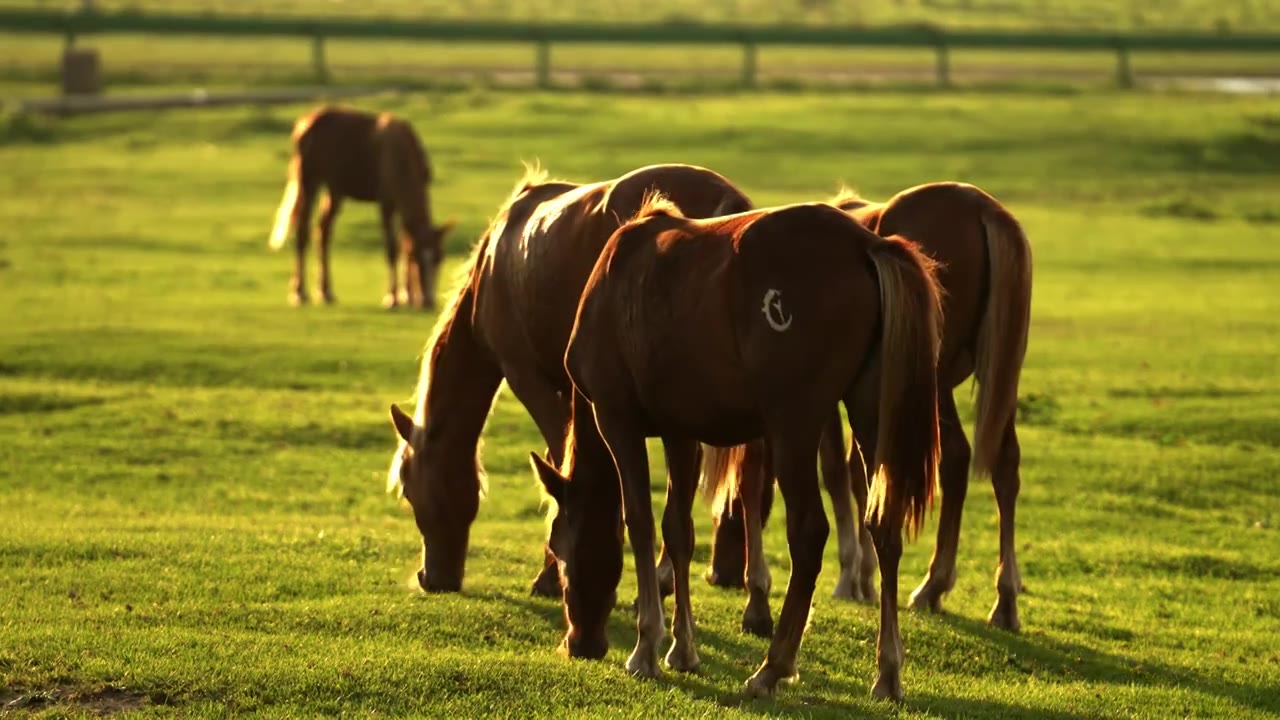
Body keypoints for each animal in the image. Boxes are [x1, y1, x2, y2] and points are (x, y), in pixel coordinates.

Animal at [264, 104, 455, 308]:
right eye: (417, 259)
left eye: (440, 258)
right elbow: (392, 248)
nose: (428, 301)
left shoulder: (402, 206)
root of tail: (305, 121)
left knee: (323, 232)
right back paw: (299, 293)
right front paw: (393, 297)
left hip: (334, 189)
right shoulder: (386, 204)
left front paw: (407, 296)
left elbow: (405, 244)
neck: (402, 154)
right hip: (309, 181)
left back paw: (325, 292)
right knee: (303, 232)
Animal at [384, 161, 752, 594]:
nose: (432, 578)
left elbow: (559, 456)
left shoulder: (527, 376)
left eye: (409, 489)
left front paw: (552, 571)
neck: (492, 265)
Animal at [527, 197, 942, 702]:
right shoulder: (679, 432)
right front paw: (682, 650)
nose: (580, 645)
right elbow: (678, 531)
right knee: (883, 527)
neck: (613, 284)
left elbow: (640, 523)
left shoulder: (617, 420)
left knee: (809, 533)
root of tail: (867, 244)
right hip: (869, 415)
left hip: (793, 426)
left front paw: (646, 648)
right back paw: (887, 673)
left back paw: (772, 667)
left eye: (558, 544)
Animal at [706, 179, 1034, 627]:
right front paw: (865, 575)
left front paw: (852, 576)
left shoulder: (816, 405)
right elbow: (858, 473)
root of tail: (981, 208)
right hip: (996, 378)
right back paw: (1000, 599)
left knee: (955, 458)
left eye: (732, 506)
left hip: (935, 385)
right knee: (1002, 465)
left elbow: (838, 473)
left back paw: (937, 586)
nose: (718, 575)